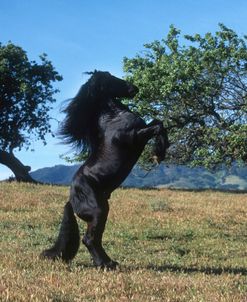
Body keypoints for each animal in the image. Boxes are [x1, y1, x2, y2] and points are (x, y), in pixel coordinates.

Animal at [41, 71, 169, 268]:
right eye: (111, 78)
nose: (134, 88)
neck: (114, 118)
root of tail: (71, 200)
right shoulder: (134, 137)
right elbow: (157, 126)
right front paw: (158, 153)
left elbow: (158, 122)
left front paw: (161, 150)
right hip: (99, 212)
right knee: (90, 239)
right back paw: (106, 265)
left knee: (94, 239)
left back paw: (107, 262)